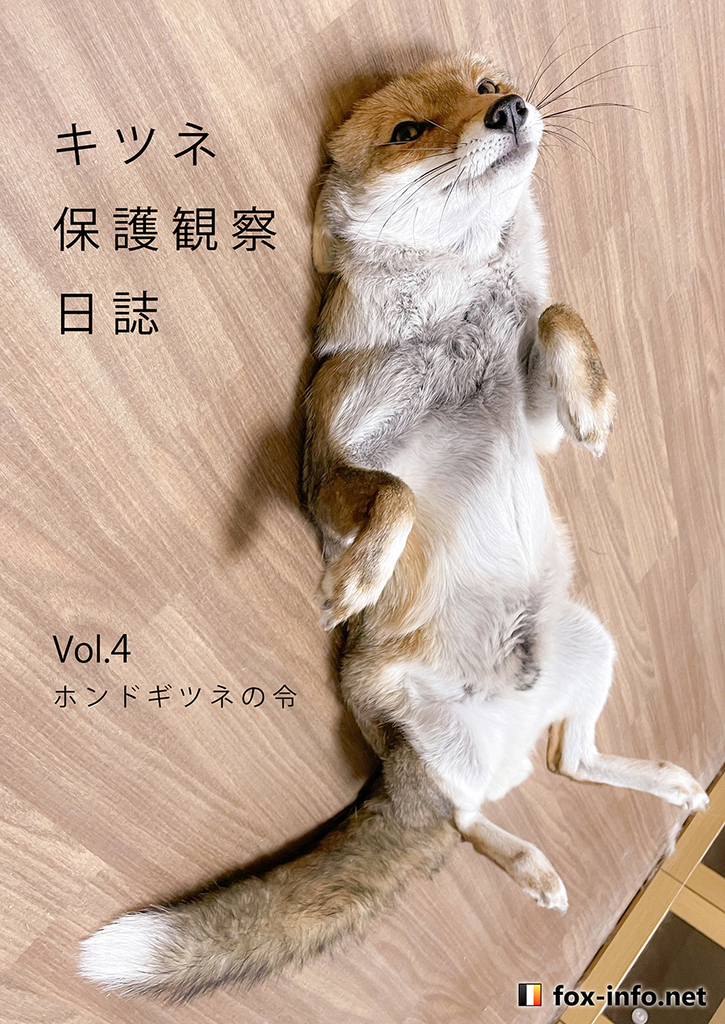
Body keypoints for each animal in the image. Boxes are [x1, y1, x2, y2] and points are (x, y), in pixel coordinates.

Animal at [78, 52, 708, 1000]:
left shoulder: (531, 424)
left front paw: (594, 406)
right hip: (454, 754)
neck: (453, 315)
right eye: (409, 132)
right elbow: (395, 500)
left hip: (587, 645)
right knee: (464, 823)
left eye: (483, 85)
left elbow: (556, 316)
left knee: (565, 765)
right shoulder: (332, 455)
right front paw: (357, 578)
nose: (512, 108)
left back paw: (658, 791)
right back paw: (528, 863)